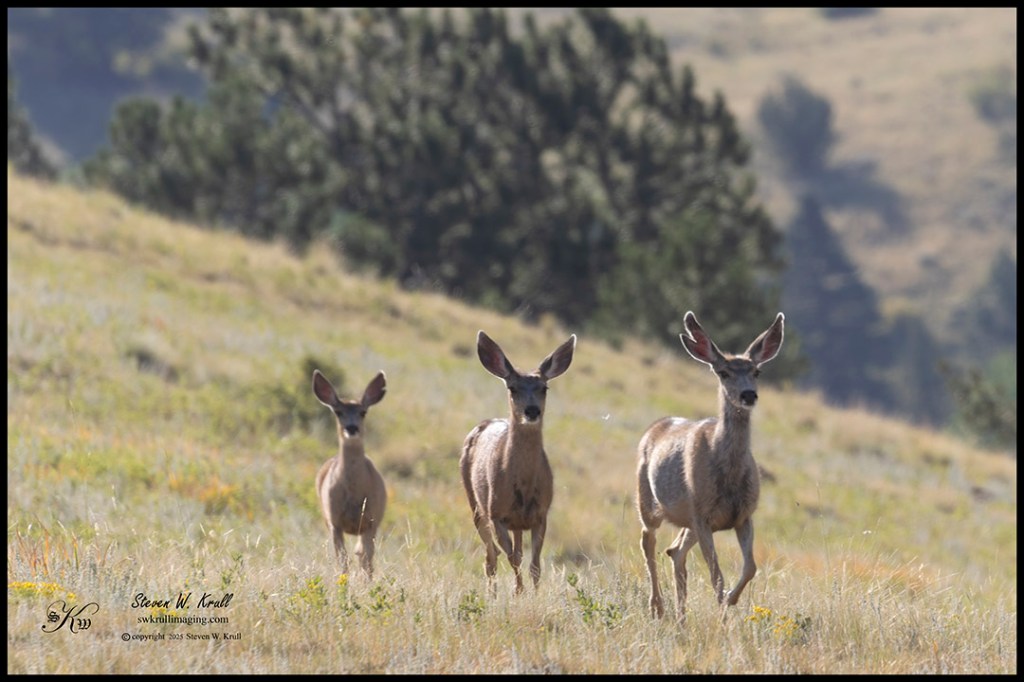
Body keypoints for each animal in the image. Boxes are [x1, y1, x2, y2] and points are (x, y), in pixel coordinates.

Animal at [312, 369, 388, 578]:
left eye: (363, 412)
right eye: (338, 412)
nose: (352, 428)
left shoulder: (371, 520)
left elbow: (366, 559)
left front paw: (368, 583)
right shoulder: (334, 521)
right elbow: (342, 560)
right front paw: (343, 582)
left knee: (362, 554)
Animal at [460, 330, 576, 595]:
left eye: (544, 387)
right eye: (512, 388)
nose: (532, 411)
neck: (523, 485)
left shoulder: (541, 514)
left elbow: (534, 564)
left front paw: (533, 593)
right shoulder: (496, 513)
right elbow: (512, 558)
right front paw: (519, 591)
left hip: (516, 523)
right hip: (475, 504)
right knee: (491, 557)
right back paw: (492, 593)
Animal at [636, 311, 784, 624]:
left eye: (757, 372)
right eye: (723, 372)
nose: (748, 395)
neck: (728, 475)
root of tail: (655, 427)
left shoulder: (743, 515)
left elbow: (750, 567)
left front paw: (731, 600)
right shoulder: (703, 515)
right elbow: (717, 576)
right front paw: (724, 616)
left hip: (688, 521)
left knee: (675, 551)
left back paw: (681, 616)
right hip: (648, 501)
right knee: (648, 541)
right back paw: (658, 607)